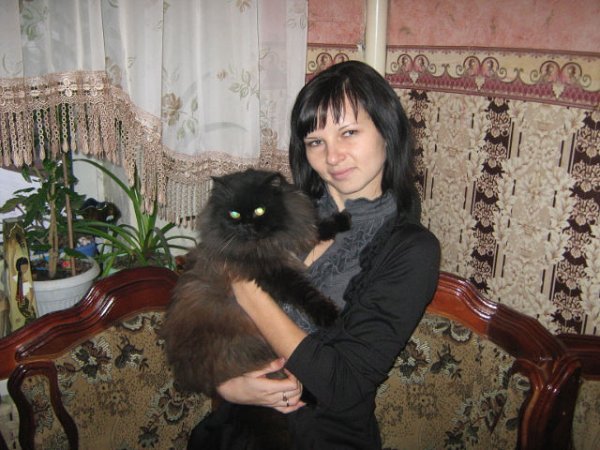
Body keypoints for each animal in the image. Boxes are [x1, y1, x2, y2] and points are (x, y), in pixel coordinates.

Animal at [160, 168, 351, 397]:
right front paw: (328, 315)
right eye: (234, 214)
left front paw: (343, 220)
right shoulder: (273, 273)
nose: (246, 225)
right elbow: (305, 293)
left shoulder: (294, 234)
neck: (263, 244)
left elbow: (316, 227)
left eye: (260, 211)